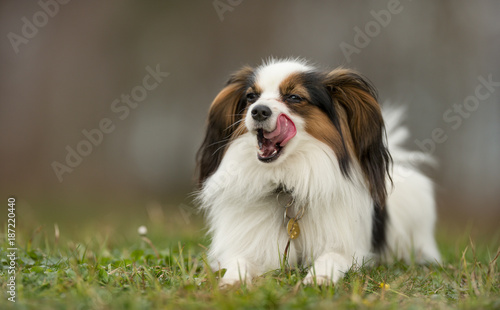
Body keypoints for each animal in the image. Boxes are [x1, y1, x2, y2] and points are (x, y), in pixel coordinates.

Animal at [195, 58, 438, 286]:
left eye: (294, 97)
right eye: (251, 97)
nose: (258, 111)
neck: (286, 183)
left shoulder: (346, 249)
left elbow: (330, 258)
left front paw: (319, 278)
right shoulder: (249, 245)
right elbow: (238, 262)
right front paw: (231, 282)